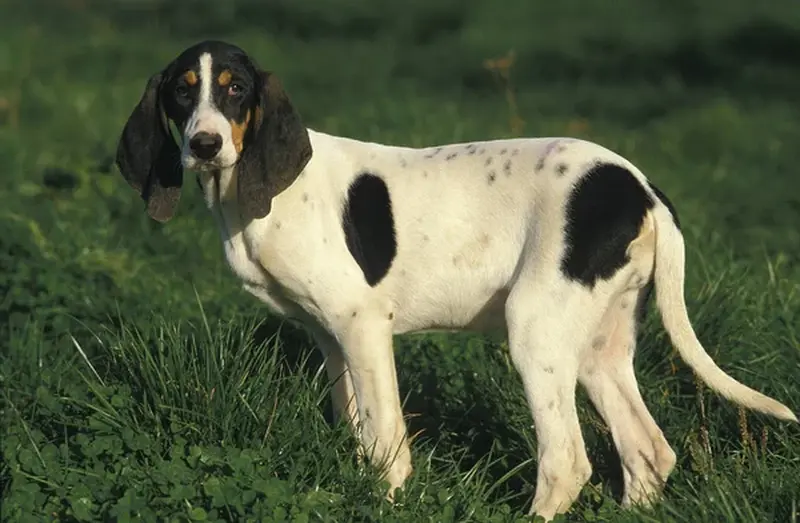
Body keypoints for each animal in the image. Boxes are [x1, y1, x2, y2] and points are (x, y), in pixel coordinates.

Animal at [115, 40, 796, 520]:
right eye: (182, 93)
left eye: (235, 91)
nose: (204, 145)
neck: (256, 196)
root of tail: (640, 187)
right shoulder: (332, 340)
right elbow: (358, 433)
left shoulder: (363, 328)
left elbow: (386, 440)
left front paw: (387, 503)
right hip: (597, 348)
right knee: (647, 452)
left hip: (535, 333)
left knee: (566, 461)